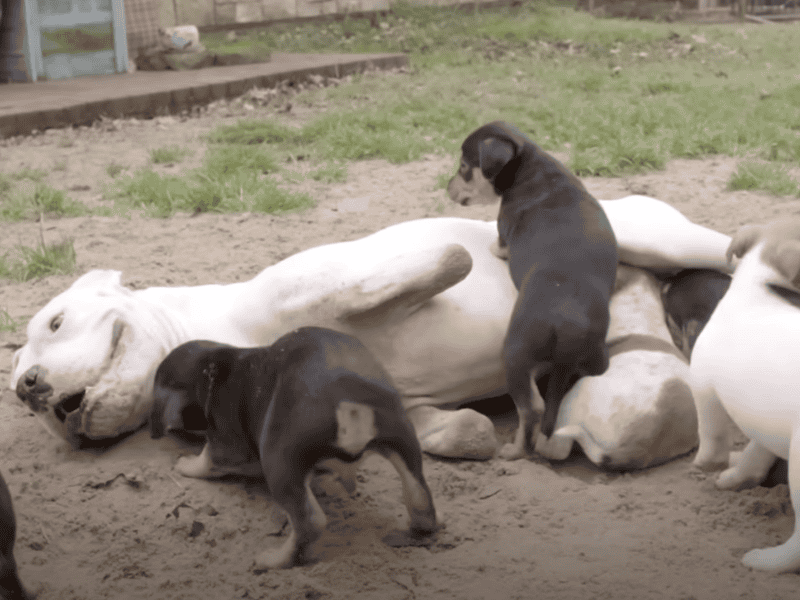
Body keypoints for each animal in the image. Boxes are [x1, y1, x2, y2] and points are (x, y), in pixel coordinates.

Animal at [10, 196, 732, 464]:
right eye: (19, 390)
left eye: (55, 320)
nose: (28, 389)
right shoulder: (405, 402)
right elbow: (463, 431)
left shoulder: (348, 280)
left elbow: (450, 258)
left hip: (656, 234)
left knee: (731, 249)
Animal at [150, 328, 438, 568]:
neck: (212, 368)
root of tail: (347, 402)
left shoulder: (226, 446)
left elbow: (206, 460)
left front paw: (185, 464)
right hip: (404, 441)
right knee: (420, 499)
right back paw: (413, 531)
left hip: (279, 462)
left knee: (309, 524)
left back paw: (273, 560)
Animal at [450, 120, 620, 460]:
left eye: (463, 167)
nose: (447, 188)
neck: (532, 166)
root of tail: (568, 327)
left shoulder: (502, 238)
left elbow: (496, 242)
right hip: (595, 359)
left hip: (514, 354)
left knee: (531, 409)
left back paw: (513, 451)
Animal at [688, 219, 800, 572]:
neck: (760, 287)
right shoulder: (766, 417)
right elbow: (756, 454)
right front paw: (736, 475)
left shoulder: (702, 387)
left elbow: (712, 441)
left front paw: (708, 464)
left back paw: (768, 561)